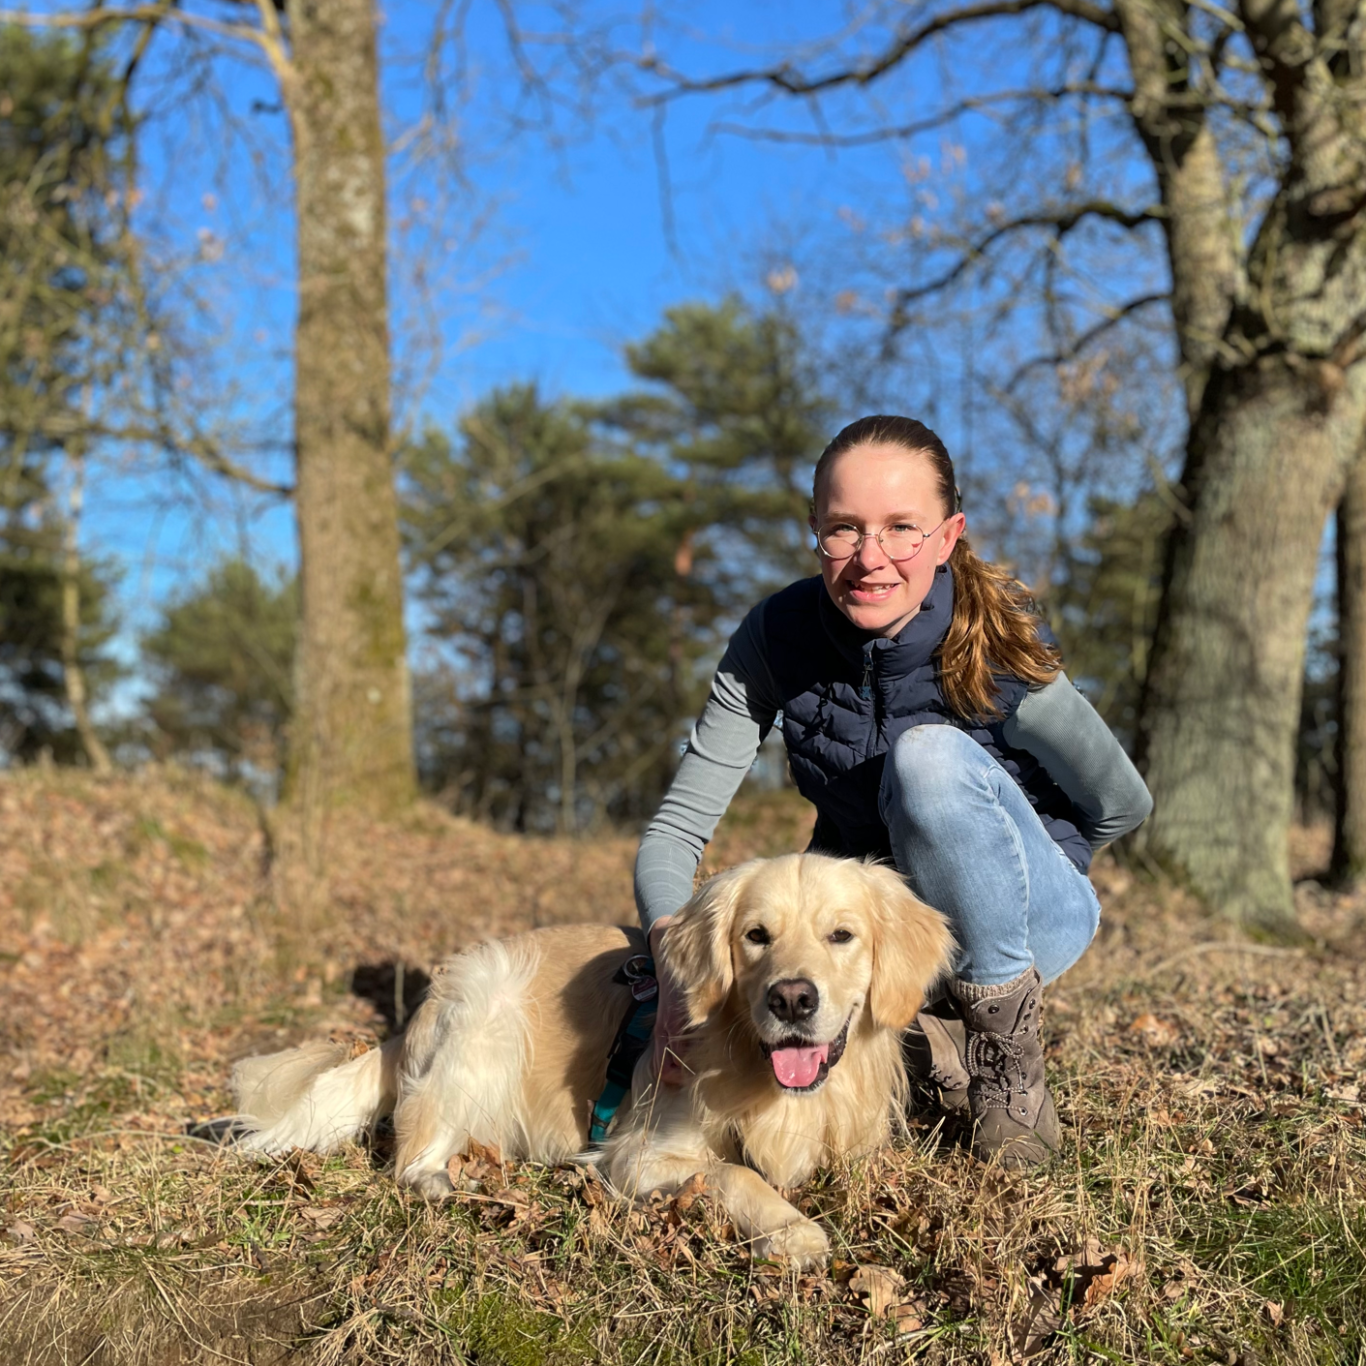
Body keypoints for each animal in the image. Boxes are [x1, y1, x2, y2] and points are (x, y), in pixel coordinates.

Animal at [228, 853, 953, 1266]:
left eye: (842, 935)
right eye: (756, 936)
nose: (793, 999)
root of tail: (416, 1017)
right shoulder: (639, 1154)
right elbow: (734, 1174)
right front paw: (792, 1231)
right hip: (487, 1021)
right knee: (411, 1154)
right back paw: (451, 1183)